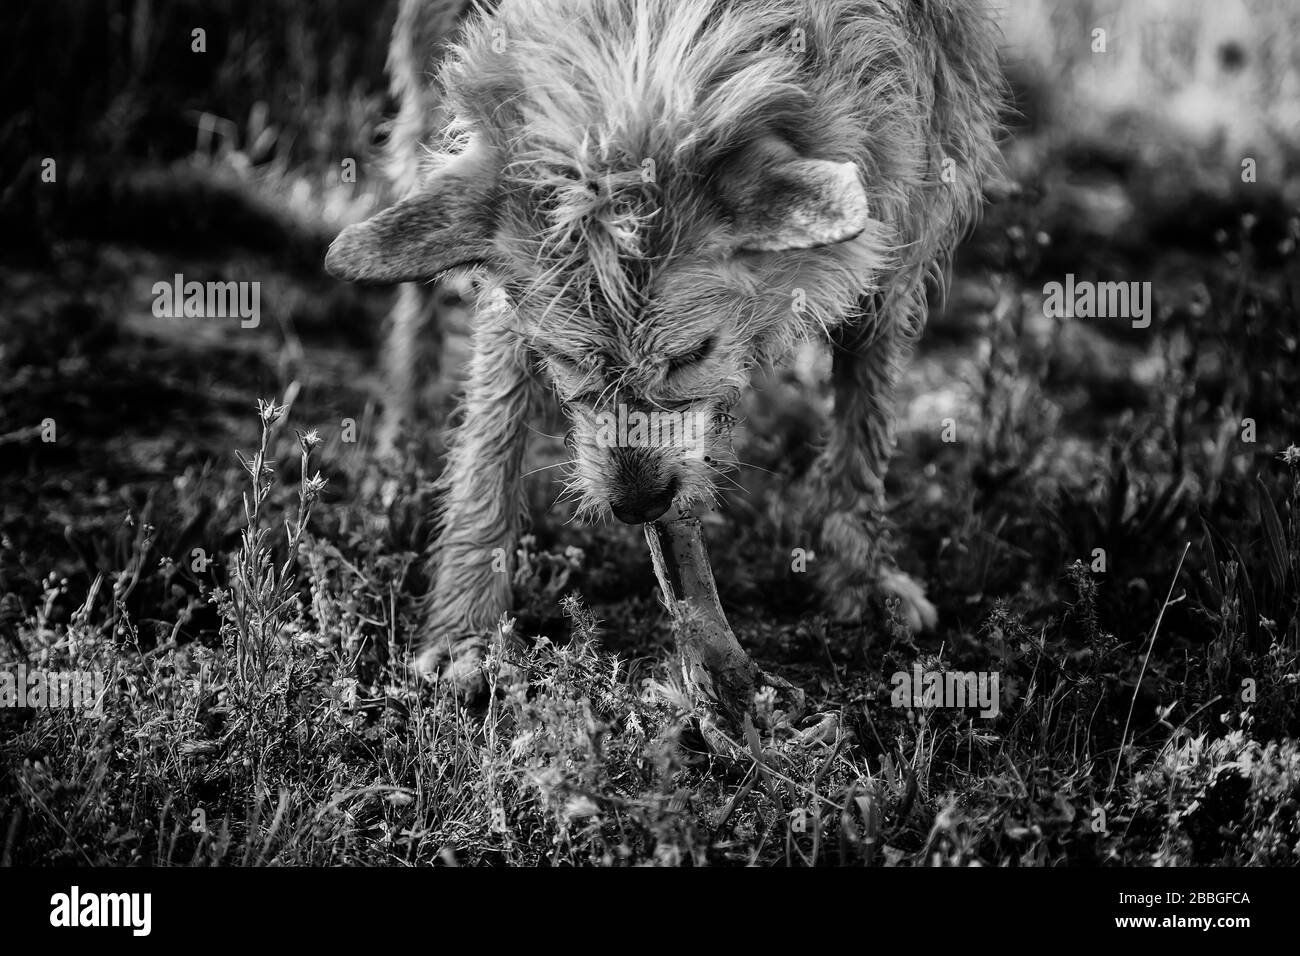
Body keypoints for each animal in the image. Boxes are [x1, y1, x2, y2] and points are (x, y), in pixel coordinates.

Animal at [325, 0, 1003, 686]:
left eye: (690, 356)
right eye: (566, 360)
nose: (640, 504)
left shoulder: (908, 190)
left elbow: (864, 414)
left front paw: (863, 572)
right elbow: (492, 433)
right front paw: (467, 623)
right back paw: (397, 452)